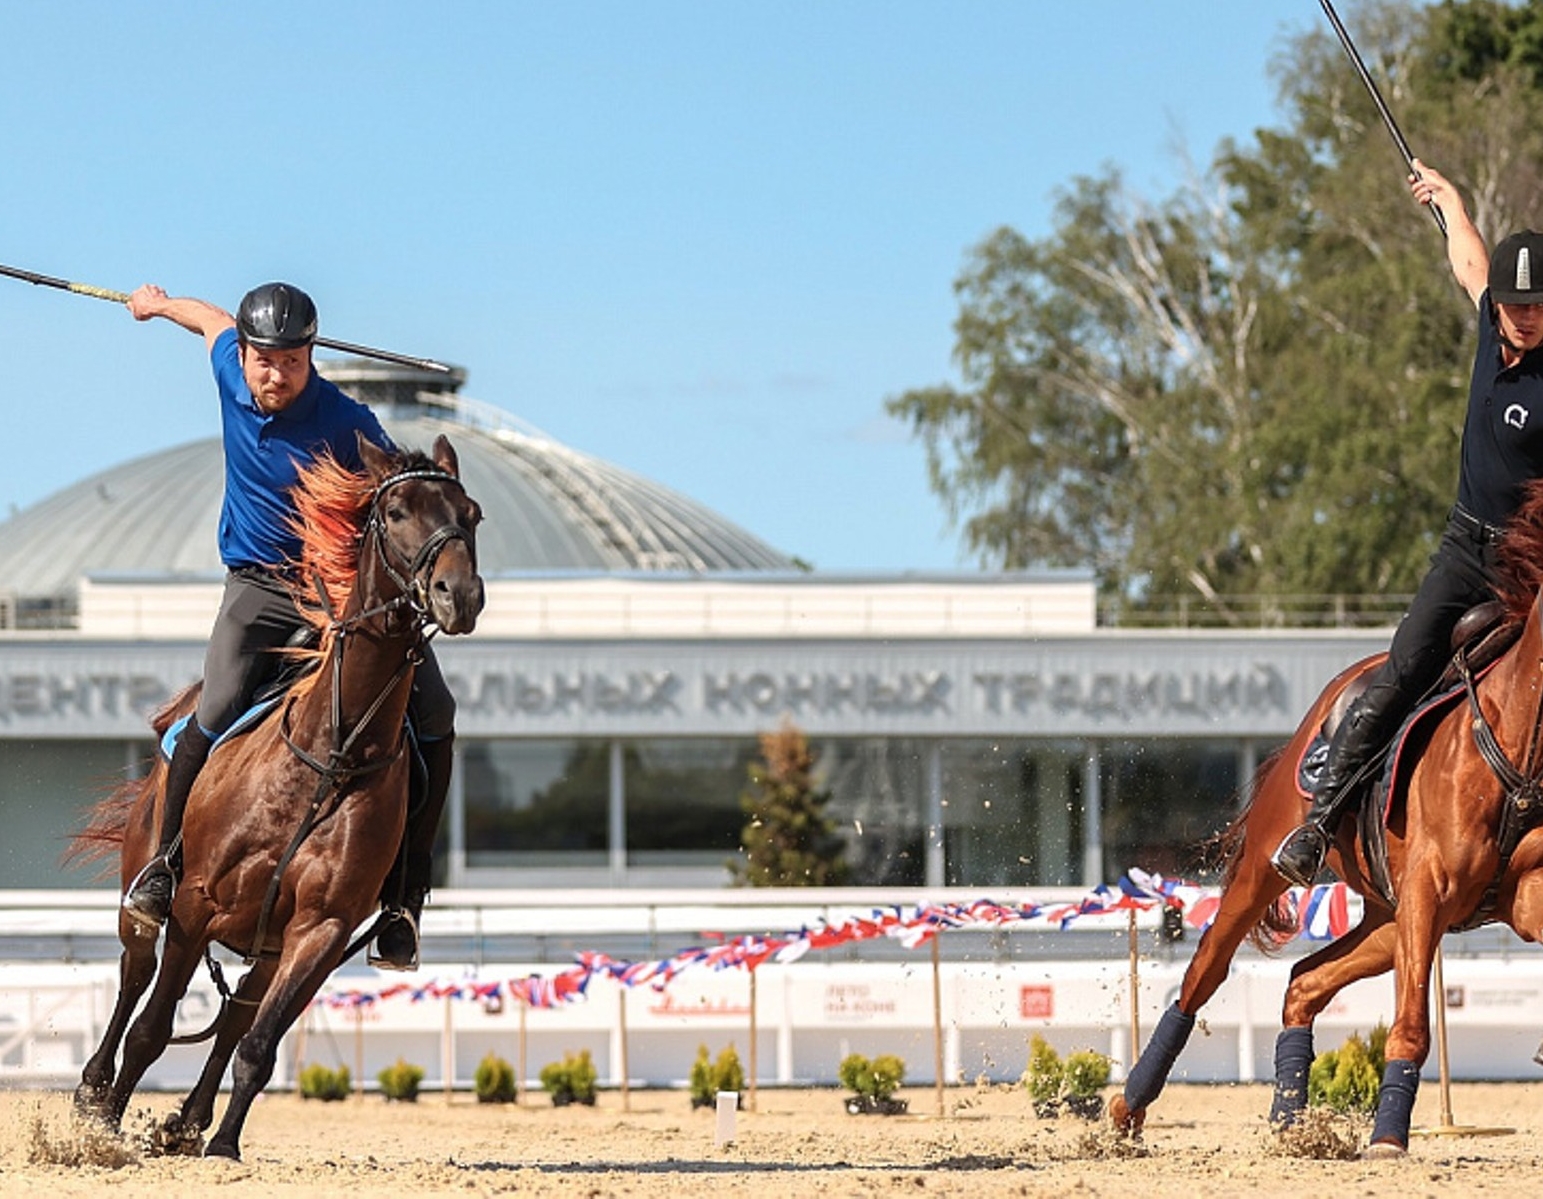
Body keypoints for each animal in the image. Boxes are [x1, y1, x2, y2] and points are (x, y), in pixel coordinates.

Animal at [67, 435, 481, 1154]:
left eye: (472, 514)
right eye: (395, 509)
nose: (459, 594)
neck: (333, 754)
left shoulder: (322, 928)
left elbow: (258, 1045)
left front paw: (221, 1144)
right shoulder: (194, 906)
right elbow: (150, 1029)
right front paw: (113, 1129)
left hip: (266, 943)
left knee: (237, 1014)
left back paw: (188, 1122)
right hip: (147, 894)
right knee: (133, 975)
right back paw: (95, 1093)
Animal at [1110, 481, 1543, 1154]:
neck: (1517, 736)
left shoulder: (1517, 896)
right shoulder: (1430, 891)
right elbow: (1412, 1024)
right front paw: (1389, 1138)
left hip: (1390, 917)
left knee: (1304, 981)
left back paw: (1290, 1121)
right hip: (1272, 872)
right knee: (1205, 972)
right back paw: (1130, 1106)